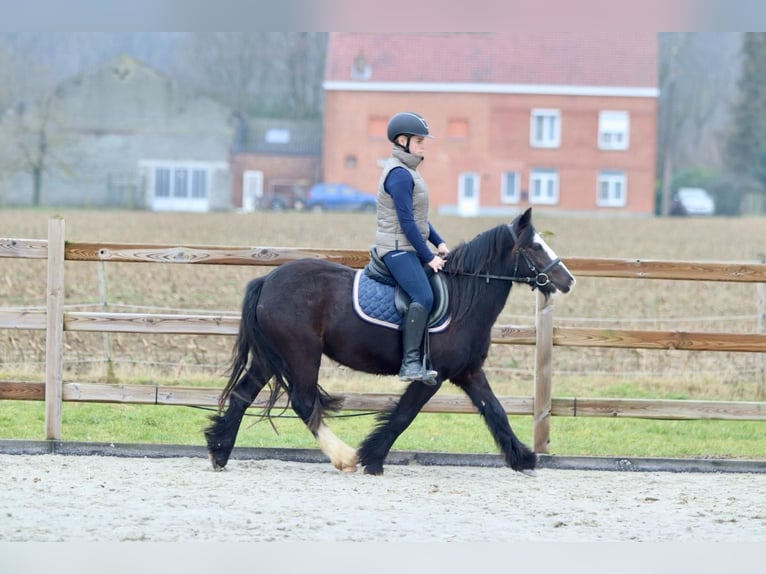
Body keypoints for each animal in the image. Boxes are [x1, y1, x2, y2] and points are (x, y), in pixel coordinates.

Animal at [206, 209, 576, 474]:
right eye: (535, 247)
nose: (568, 280)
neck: (463, 298)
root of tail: (267, 279)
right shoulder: (433, 376)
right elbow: (403, 415)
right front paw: (372, 458)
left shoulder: (468, 372)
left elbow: (495, 411)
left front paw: (524, 459)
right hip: (301, 354)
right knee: (304, 401)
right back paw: (344, 458)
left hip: (271, 357)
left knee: (242, 395)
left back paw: (219, 451)